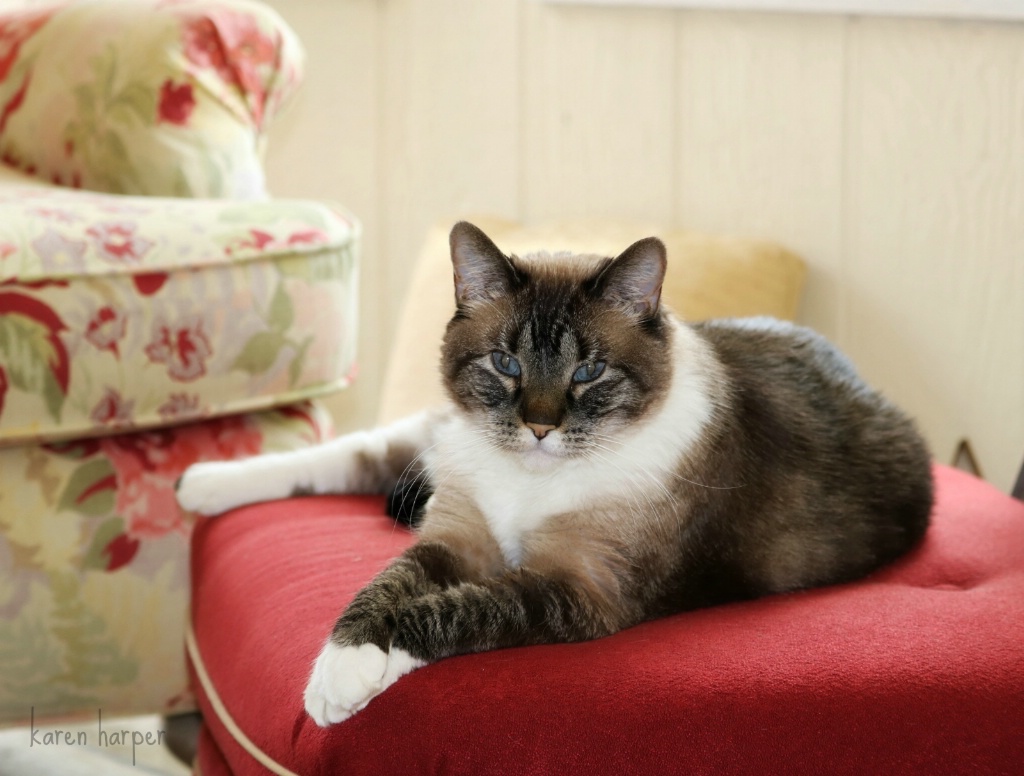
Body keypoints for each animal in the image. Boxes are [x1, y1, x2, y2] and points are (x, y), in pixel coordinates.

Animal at [176, 220, 937, 728]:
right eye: (506, 365)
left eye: (589, 372)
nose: (540, 427)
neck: (531, 478)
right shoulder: (457, 537)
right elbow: (384, 586)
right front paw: (343, 661)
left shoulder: (580, 588)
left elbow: (462, 610)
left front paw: (348, 678)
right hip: (441, 439)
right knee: (365, 449)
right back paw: (202, 482)